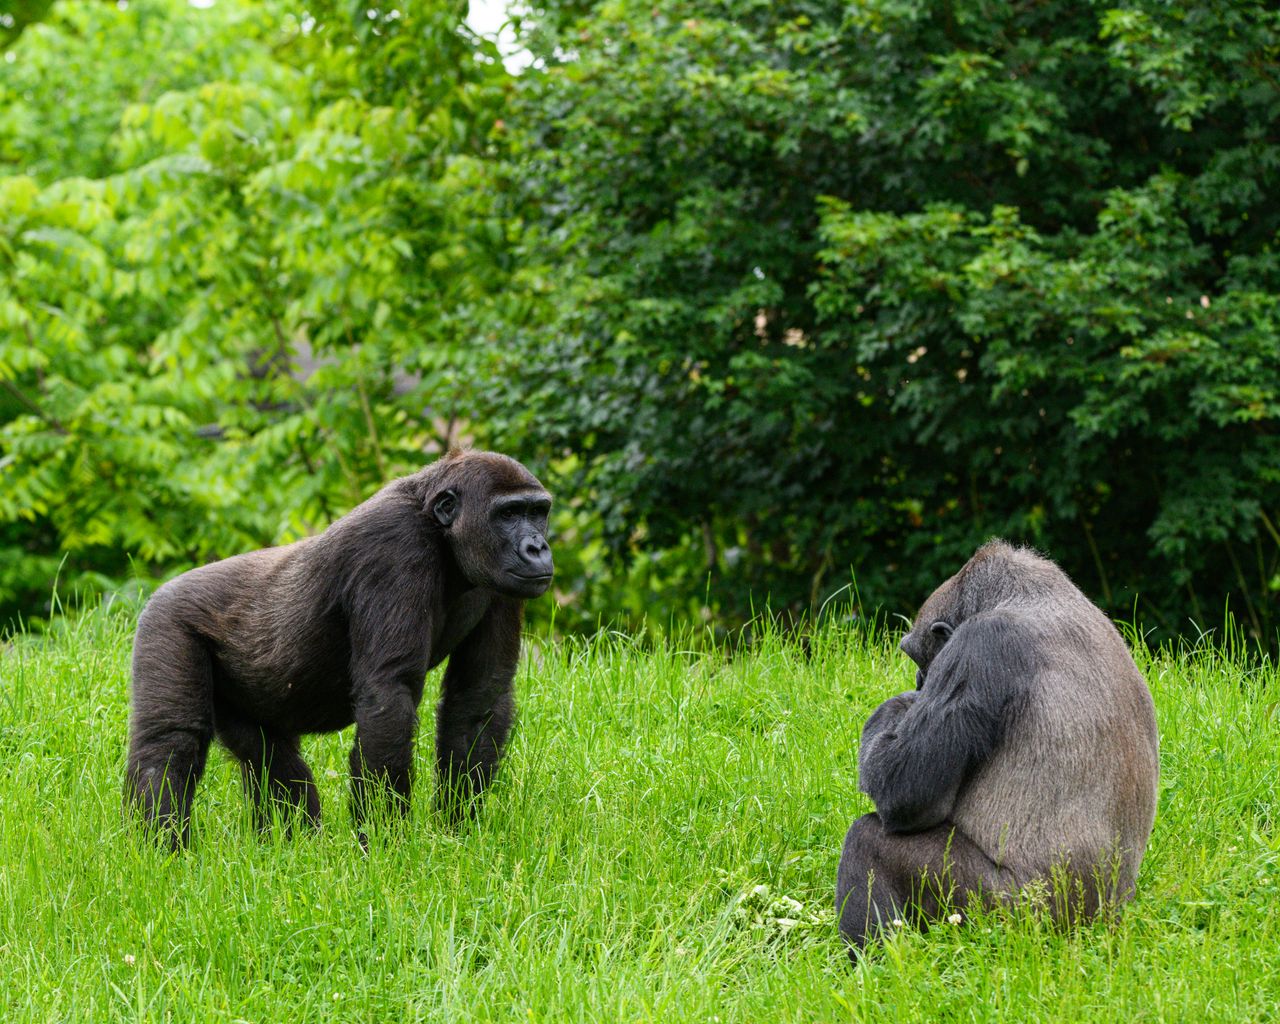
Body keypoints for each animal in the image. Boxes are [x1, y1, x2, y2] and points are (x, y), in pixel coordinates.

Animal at [125, 449, 553, 848]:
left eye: (538, 512)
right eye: (509, 514)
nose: (538, 548)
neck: (441, 533)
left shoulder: (502, 585)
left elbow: (478, 698)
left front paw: (456, 831)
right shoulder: (394, 545)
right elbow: (390, 695)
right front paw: (386, 845)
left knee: (269, 756)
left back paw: (295, 848)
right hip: (166, 621)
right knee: (171, 743)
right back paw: (161, 851)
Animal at [835, 540, 1159, 956]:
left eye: (917, 656)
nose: (921, 680)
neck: (1032, 596)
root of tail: (1102, 920)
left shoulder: (981, 643)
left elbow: (904, 792)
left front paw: (898, 706)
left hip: (1012, 915)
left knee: (868, 840)